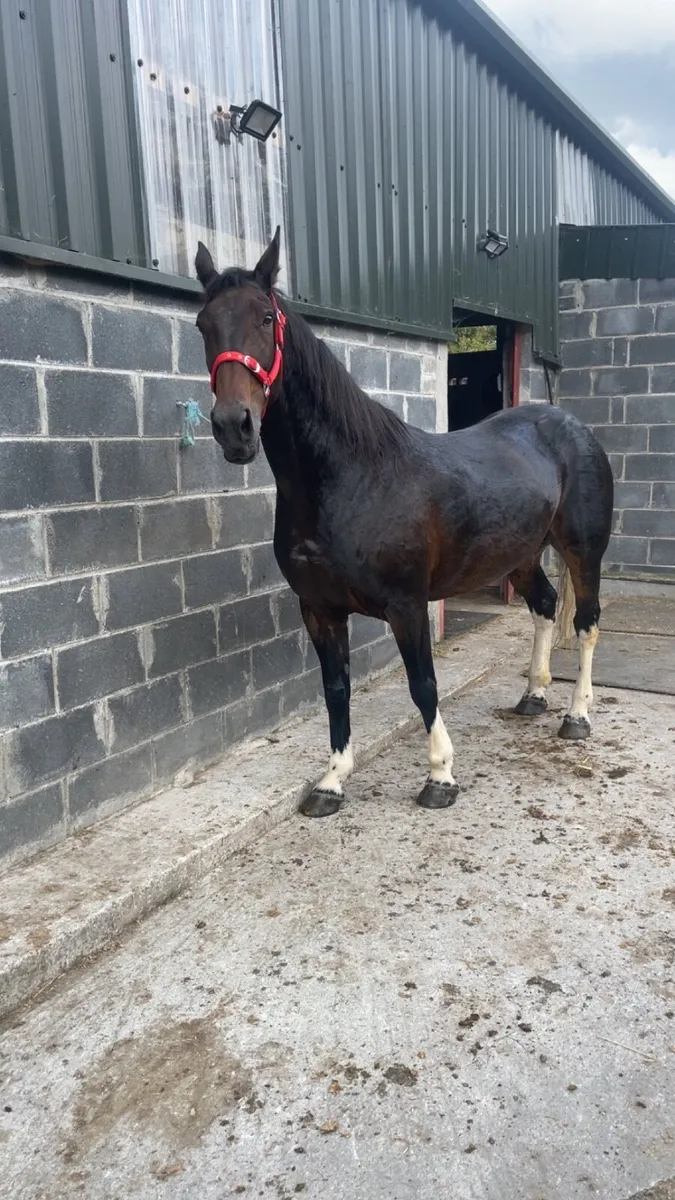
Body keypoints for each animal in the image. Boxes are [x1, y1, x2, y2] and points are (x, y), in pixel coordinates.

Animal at [194, 229, 614, 818]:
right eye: (202, 323)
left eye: (264, 317)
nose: (235, 427)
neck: (352, 477)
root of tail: (570, 425)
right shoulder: (319, 609)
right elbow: (337, 690)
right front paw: (332, 781)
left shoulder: (408, 605)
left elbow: (423, 685)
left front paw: (441, 776)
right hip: (521, 554)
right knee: (547, 607)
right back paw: (534, 695)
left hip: (583, 550)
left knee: (588, 621)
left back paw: (576, 716)